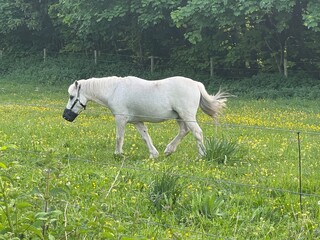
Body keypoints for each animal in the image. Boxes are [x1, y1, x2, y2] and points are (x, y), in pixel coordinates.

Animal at [62, 75, 228, 158]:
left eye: (71, 96)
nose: (65, 116)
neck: (114, 90)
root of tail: (196, 84)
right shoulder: (137, 121)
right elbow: (145, 137)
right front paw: (154, 154)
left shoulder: (121, 119)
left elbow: (119, 137)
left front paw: (118, 154)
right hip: (179, 117)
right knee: (184, 131)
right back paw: (169, 150)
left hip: (186, 115)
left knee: (197, 132)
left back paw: (202, 155)